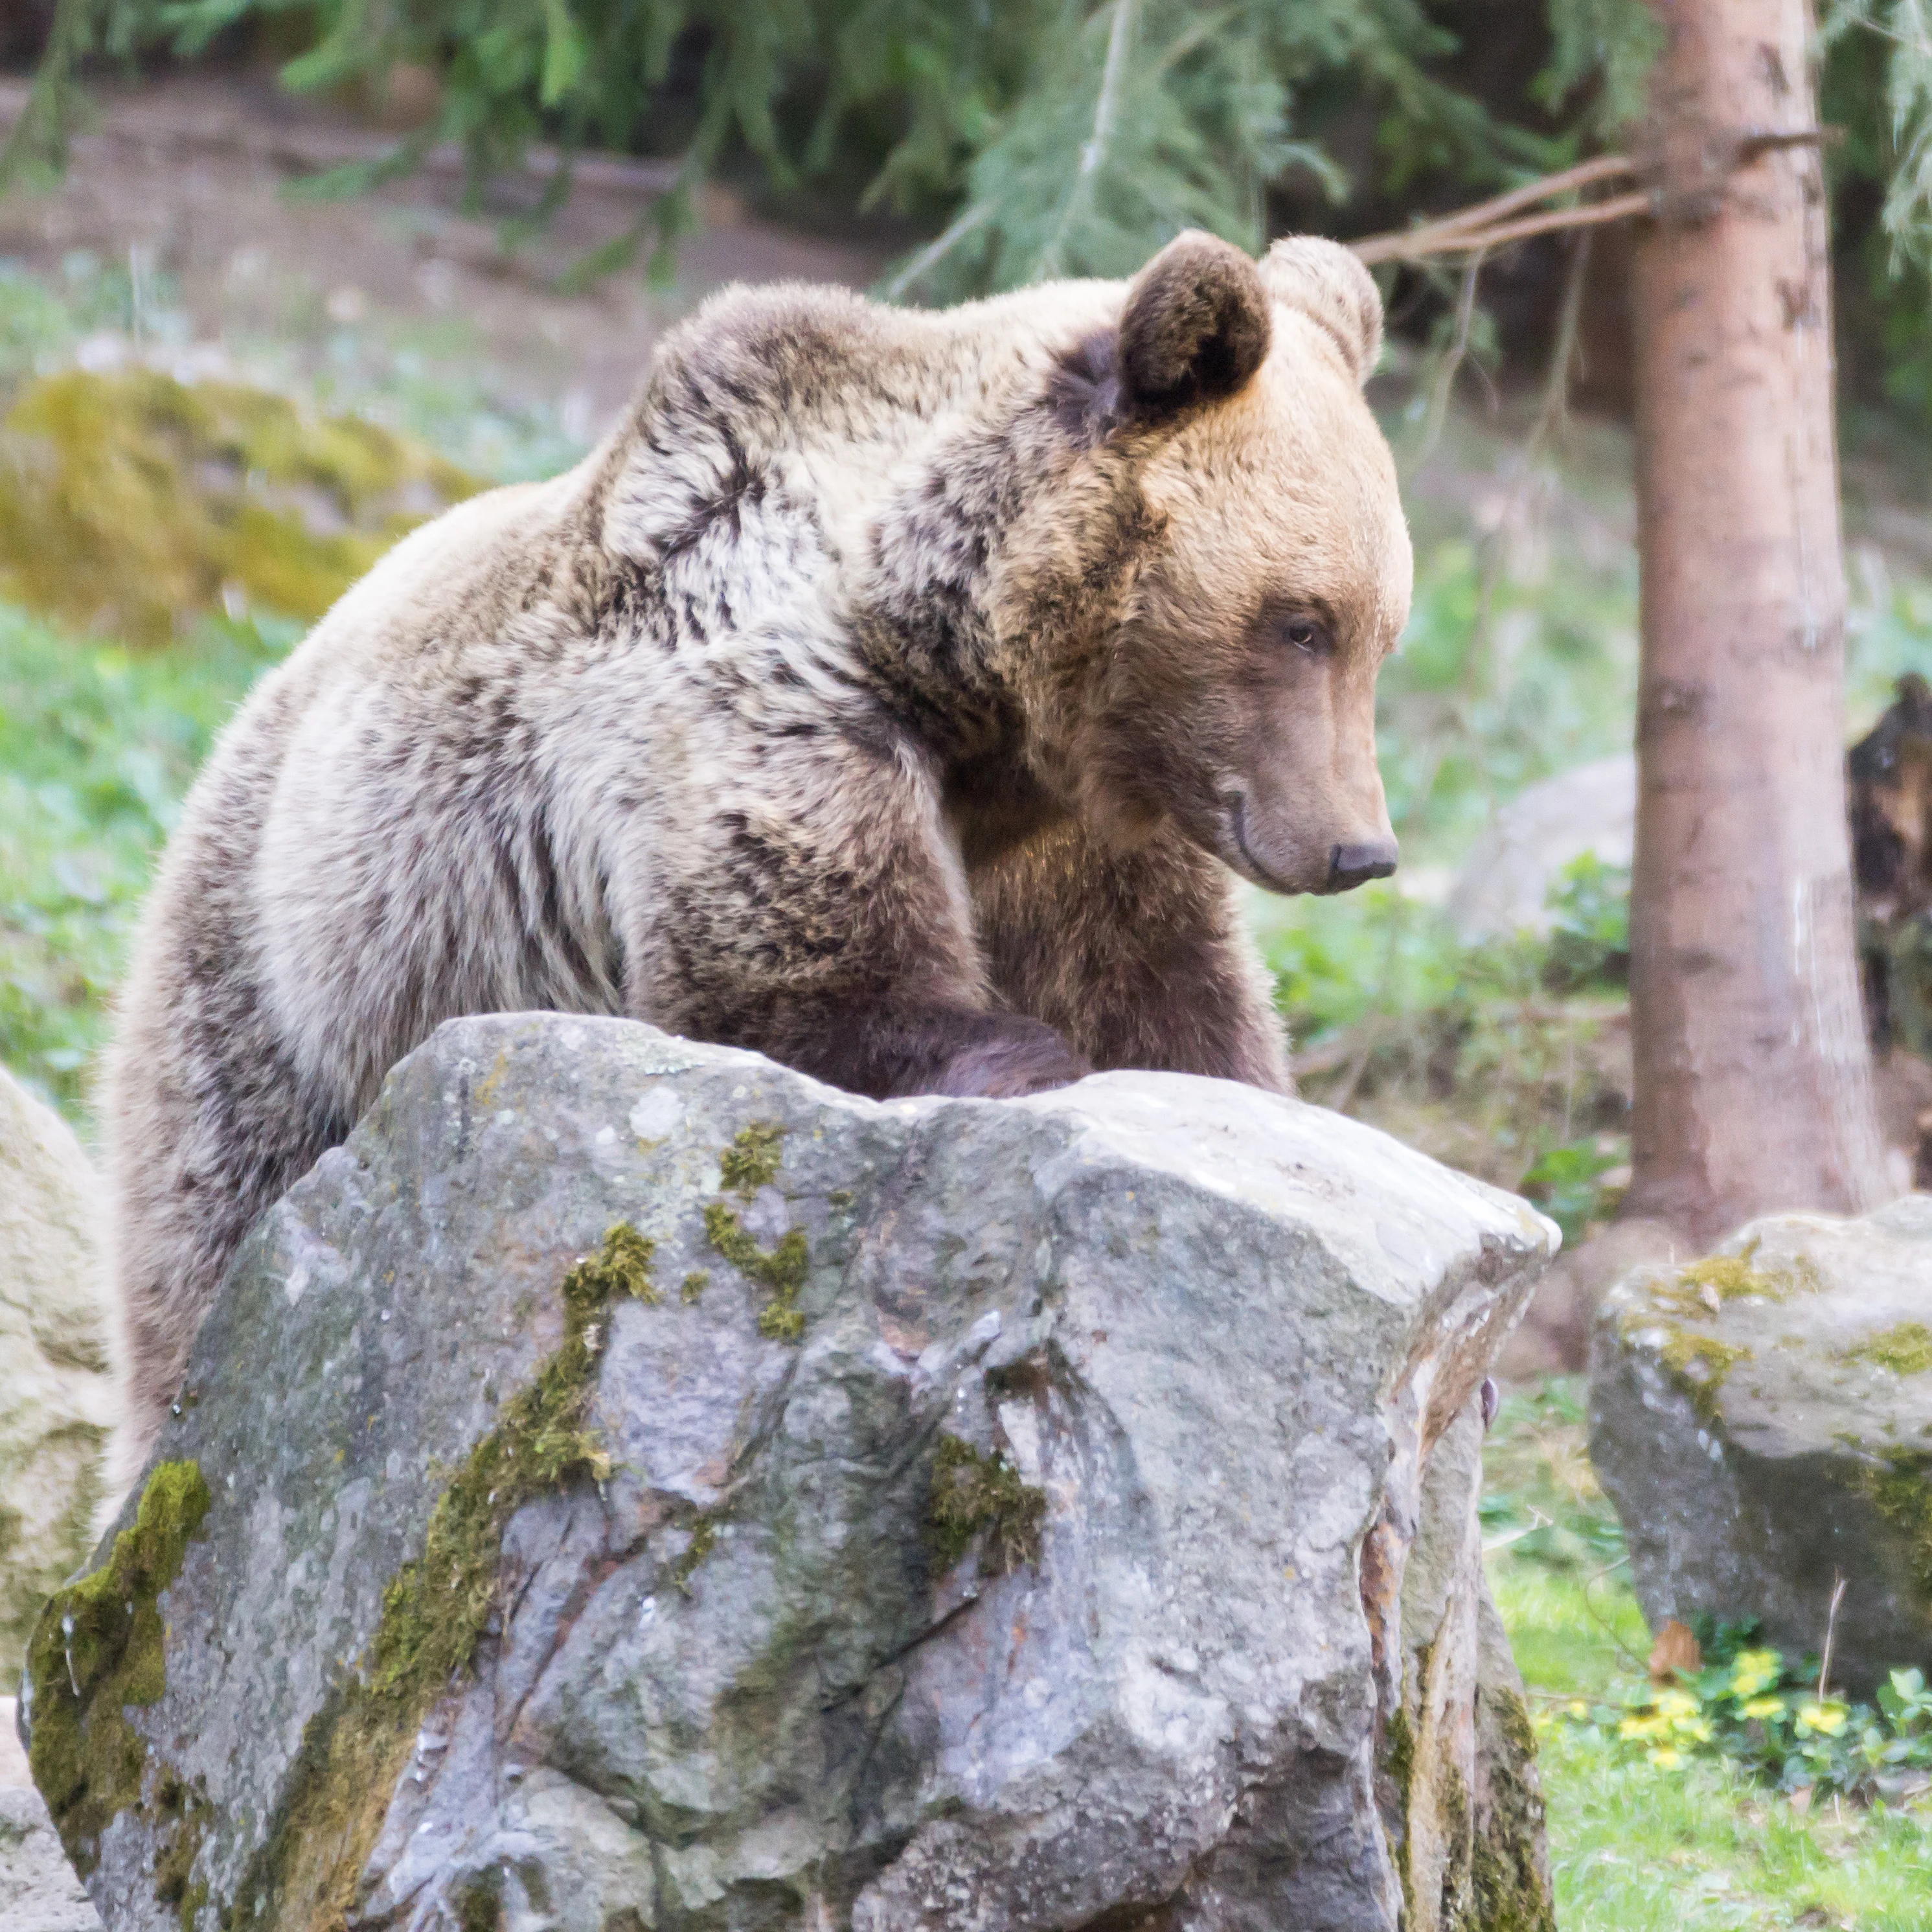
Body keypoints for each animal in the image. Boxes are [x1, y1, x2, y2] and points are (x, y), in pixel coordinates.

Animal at [100, 230, 1412, 1494]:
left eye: (1378, 633)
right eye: (1298, 622)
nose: (1357, 847)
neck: (968, 686)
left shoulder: (1072, 848)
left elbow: (1175, 1012)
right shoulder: (758, 723)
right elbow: (801, 989)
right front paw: (1016, 1060)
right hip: (298, 985)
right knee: (217, 1234)